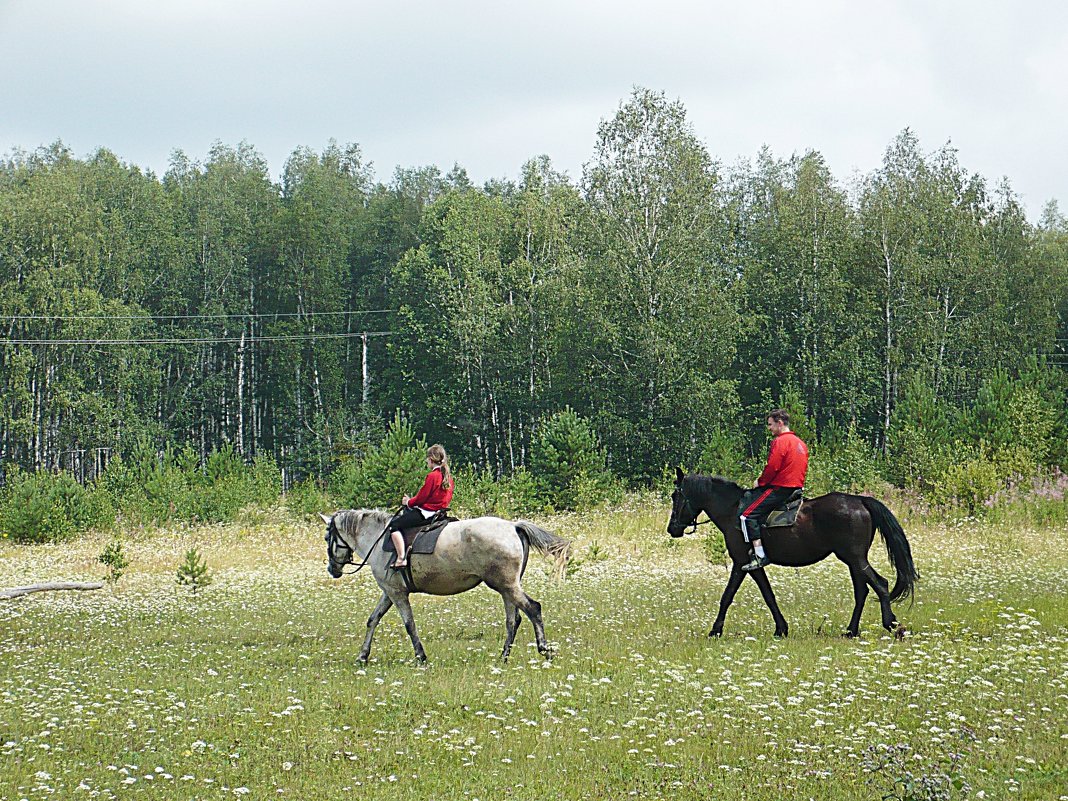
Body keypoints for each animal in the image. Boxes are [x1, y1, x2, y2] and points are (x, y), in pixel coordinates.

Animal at [320, 510, 572, 662]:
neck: (379, 540)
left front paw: (421, 657)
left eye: (326, 538)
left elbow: (409, 625)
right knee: (513, 620)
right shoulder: (389, 592)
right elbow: (373, 619)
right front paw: (363, 655)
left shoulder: (397, 594)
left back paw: (544, 649)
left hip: (506, 585)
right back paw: (503, 657)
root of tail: (513, 526)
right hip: (507, 587)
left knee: (533, 608)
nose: (333, 570)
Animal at [666, 469, 918, 640]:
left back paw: (892, 625)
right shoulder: (749, 566)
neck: (732, 510)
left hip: (855, 558)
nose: (672, 529)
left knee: (880, 584)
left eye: (675, 496)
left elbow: (732, 596)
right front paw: (781, 628)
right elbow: (767, 595)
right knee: (862, 591)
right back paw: (851, 631)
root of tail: (860, 501)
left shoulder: (743, 563)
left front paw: (716, 630)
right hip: (853, 561)